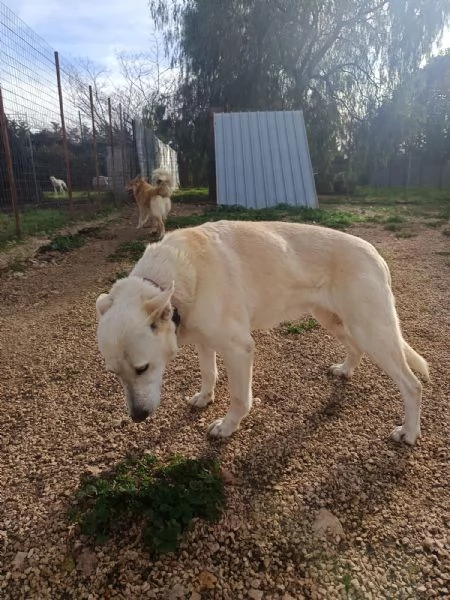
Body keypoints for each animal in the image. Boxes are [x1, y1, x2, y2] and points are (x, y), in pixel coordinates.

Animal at [96, 220, 428, 446]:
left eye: (143, 368)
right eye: (114, 374)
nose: (138, 417)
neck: (176, 274)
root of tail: (375, 254)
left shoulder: (239, 350)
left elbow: (240, 398)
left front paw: (227, 427)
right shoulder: (205, 341)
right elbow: (208, 373)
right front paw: (204, 397)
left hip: (372, 331)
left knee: (412, 385)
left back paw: (409, 433)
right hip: (333, 320)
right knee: (355, 348)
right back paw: (346, 370)